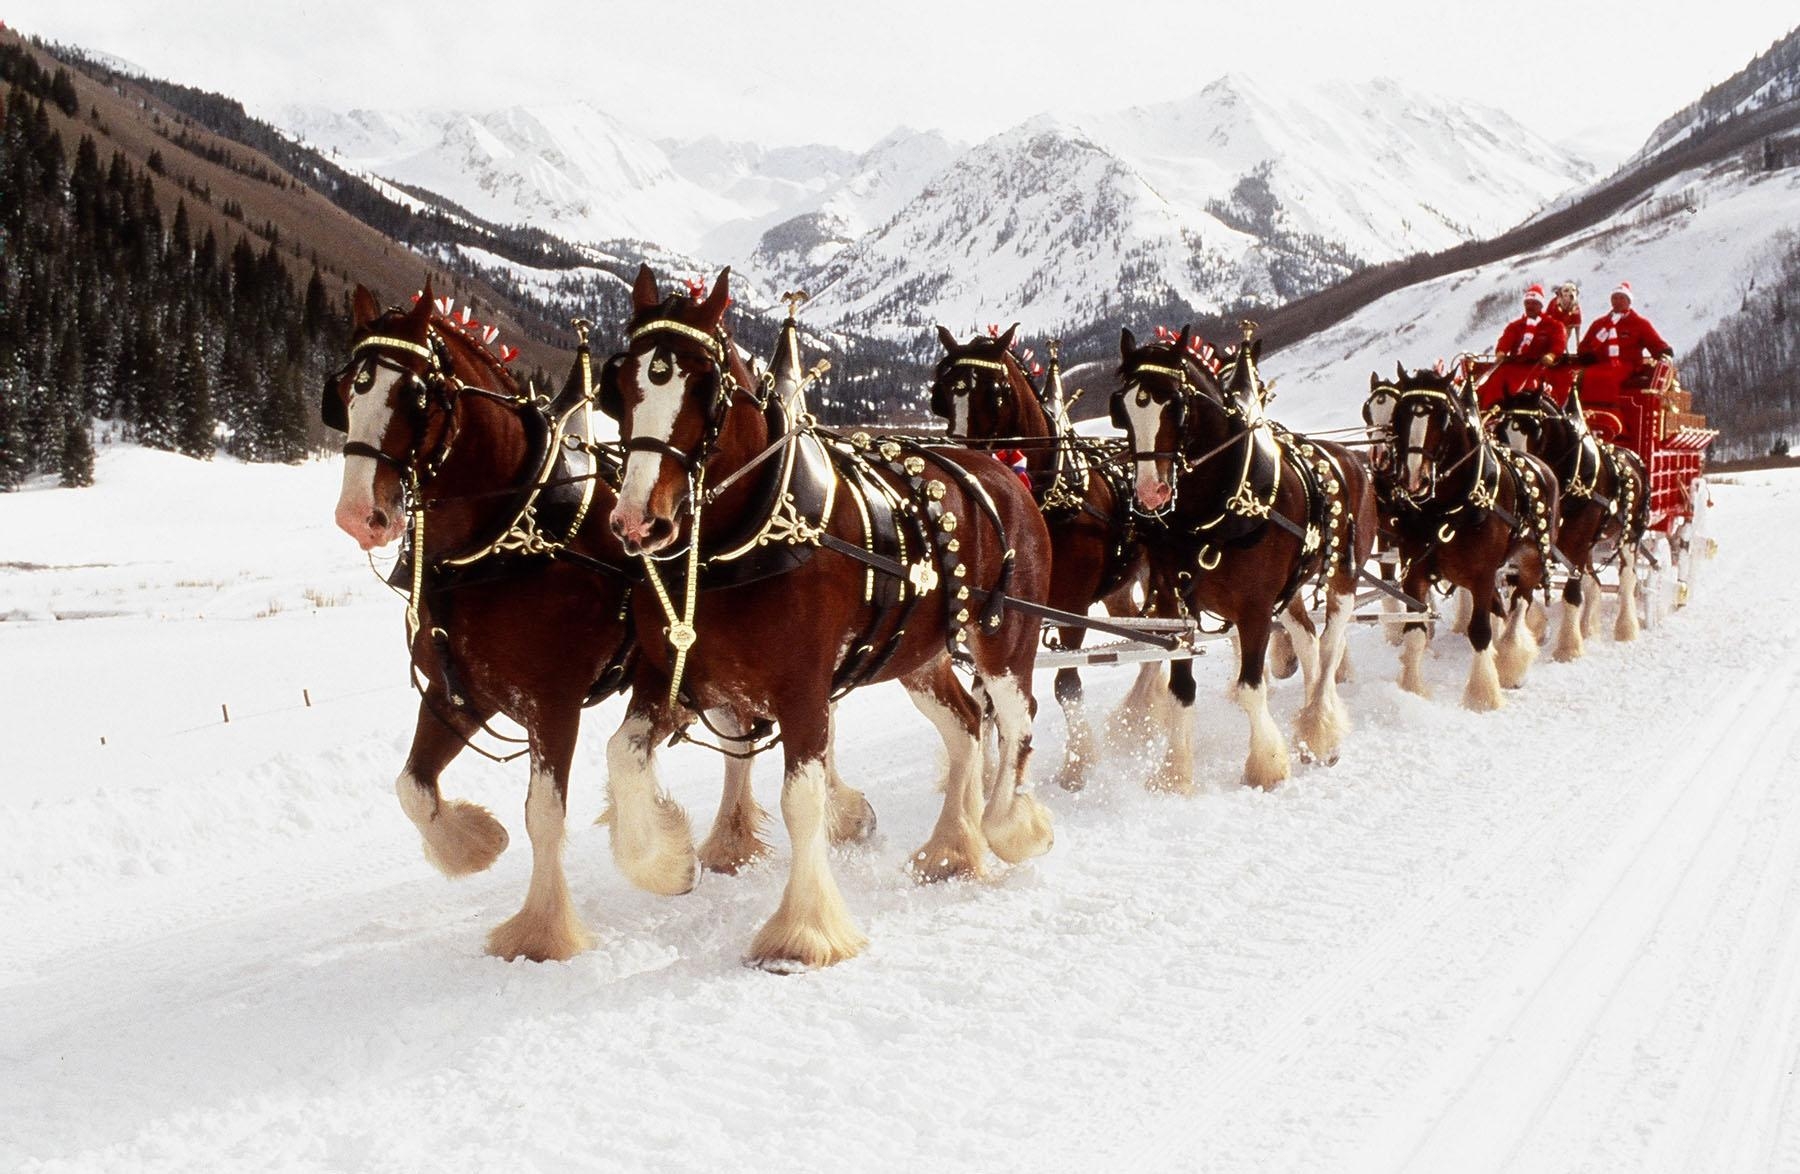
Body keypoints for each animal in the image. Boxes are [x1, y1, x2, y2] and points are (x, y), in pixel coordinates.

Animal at [601, 268, 1051, 972]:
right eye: (619, 381)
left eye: (702, 385)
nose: (638, 521)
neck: (748, 536)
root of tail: (1005, 473)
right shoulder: (679, 673)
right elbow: (622, 754)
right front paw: (667, 862)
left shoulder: (804, 691)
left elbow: (801, 800)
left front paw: (804, 931)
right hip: (918, 656)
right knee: (966, 727)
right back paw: (952, 847)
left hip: (1006, 640)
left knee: (1016, 720)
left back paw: (1006, 826)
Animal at [928, 325, 1137, 792]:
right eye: (943, 395)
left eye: (997, 393)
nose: (963, 463)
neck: (1047, 495)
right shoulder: (995, 611)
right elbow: (986, 698)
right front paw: (988, 776)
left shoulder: (1072, 607)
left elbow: (1067, 685)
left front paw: (1077, 766)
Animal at [1101, 325, 1368, 792]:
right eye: (1122, 408)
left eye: (1175, 404)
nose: (1150, 493)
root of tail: (1350, 456)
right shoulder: (1175, 602)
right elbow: (1181, 689)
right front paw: (1175, 773)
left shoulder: (1255, 607)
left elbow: (1250, 688)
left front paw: (1266, 766)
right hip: (1291, 589)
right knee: (1307, 637)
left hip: (1343, 576)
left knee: (1332, 642)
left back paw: (1320, 726)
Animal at [1375, 367, 1562, 705]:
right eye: (1400, 415)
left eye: (1443, 418)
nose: (1414, 479)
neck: (1444, 507)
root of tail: (1543, 467)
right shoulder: (1416, 572)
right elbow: (1415, 632)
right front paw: (1412, 689)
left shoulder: (1482, 574)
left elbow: (1480, 631)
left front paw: (1482, 695)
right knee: (1503, 607)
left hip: (1530, 559)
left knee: (1520, 602)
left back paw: (1511, 662)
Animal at [1490, 387, 1648, 655]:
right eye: (1501, 429)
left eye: (1535, 429)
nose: (1520, 475)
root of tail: (1634, 458)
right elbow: (1519, 589)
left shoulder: (1576, 544)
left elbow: (1571, 593)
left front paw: (1568, 647)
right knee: (1594, 582)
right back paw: (1587, 627)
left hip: (1629, 534)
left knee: (1627, 577)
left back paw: (1625, 628)